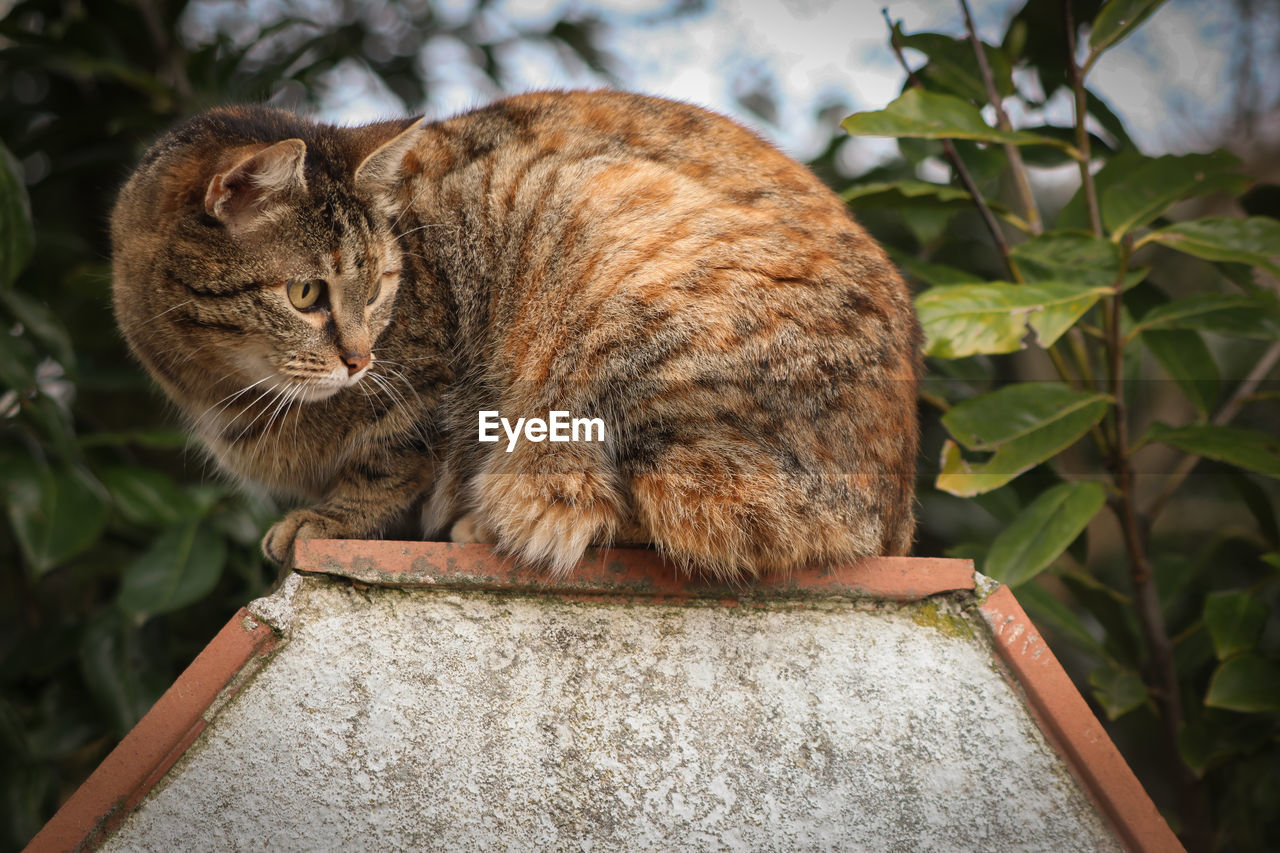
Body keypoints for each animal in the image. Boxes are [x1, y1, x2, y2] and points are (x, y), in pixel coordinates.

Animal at [110, 89, 916, 578]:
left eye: (382, 283)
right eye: (305, 293)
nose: (360, 359)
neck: (218, 380)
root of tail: (894, 521)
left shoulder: (425, 388)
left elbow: (387, 459)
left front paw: (329, 520)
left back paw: (487, 525)